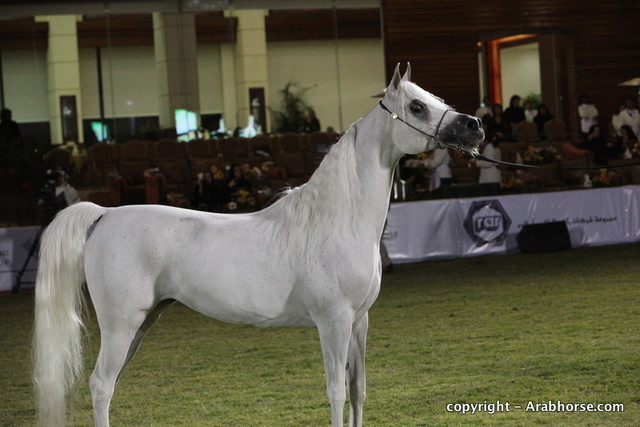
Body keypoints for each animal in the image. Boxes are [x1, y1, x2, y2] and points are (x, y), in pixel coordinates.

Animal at [33, 63, 484, 427]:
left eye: (437, 99)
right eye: (417, 107)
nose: (475, 126)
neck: (334, 220)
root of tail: (104, 214)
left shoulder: (359, 321)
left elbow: (358, 391)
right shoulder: (333, 322)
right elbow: (336, 391)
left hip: (140, 324)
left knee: (108, 384)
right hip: (121, 324)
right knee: (101, 385)